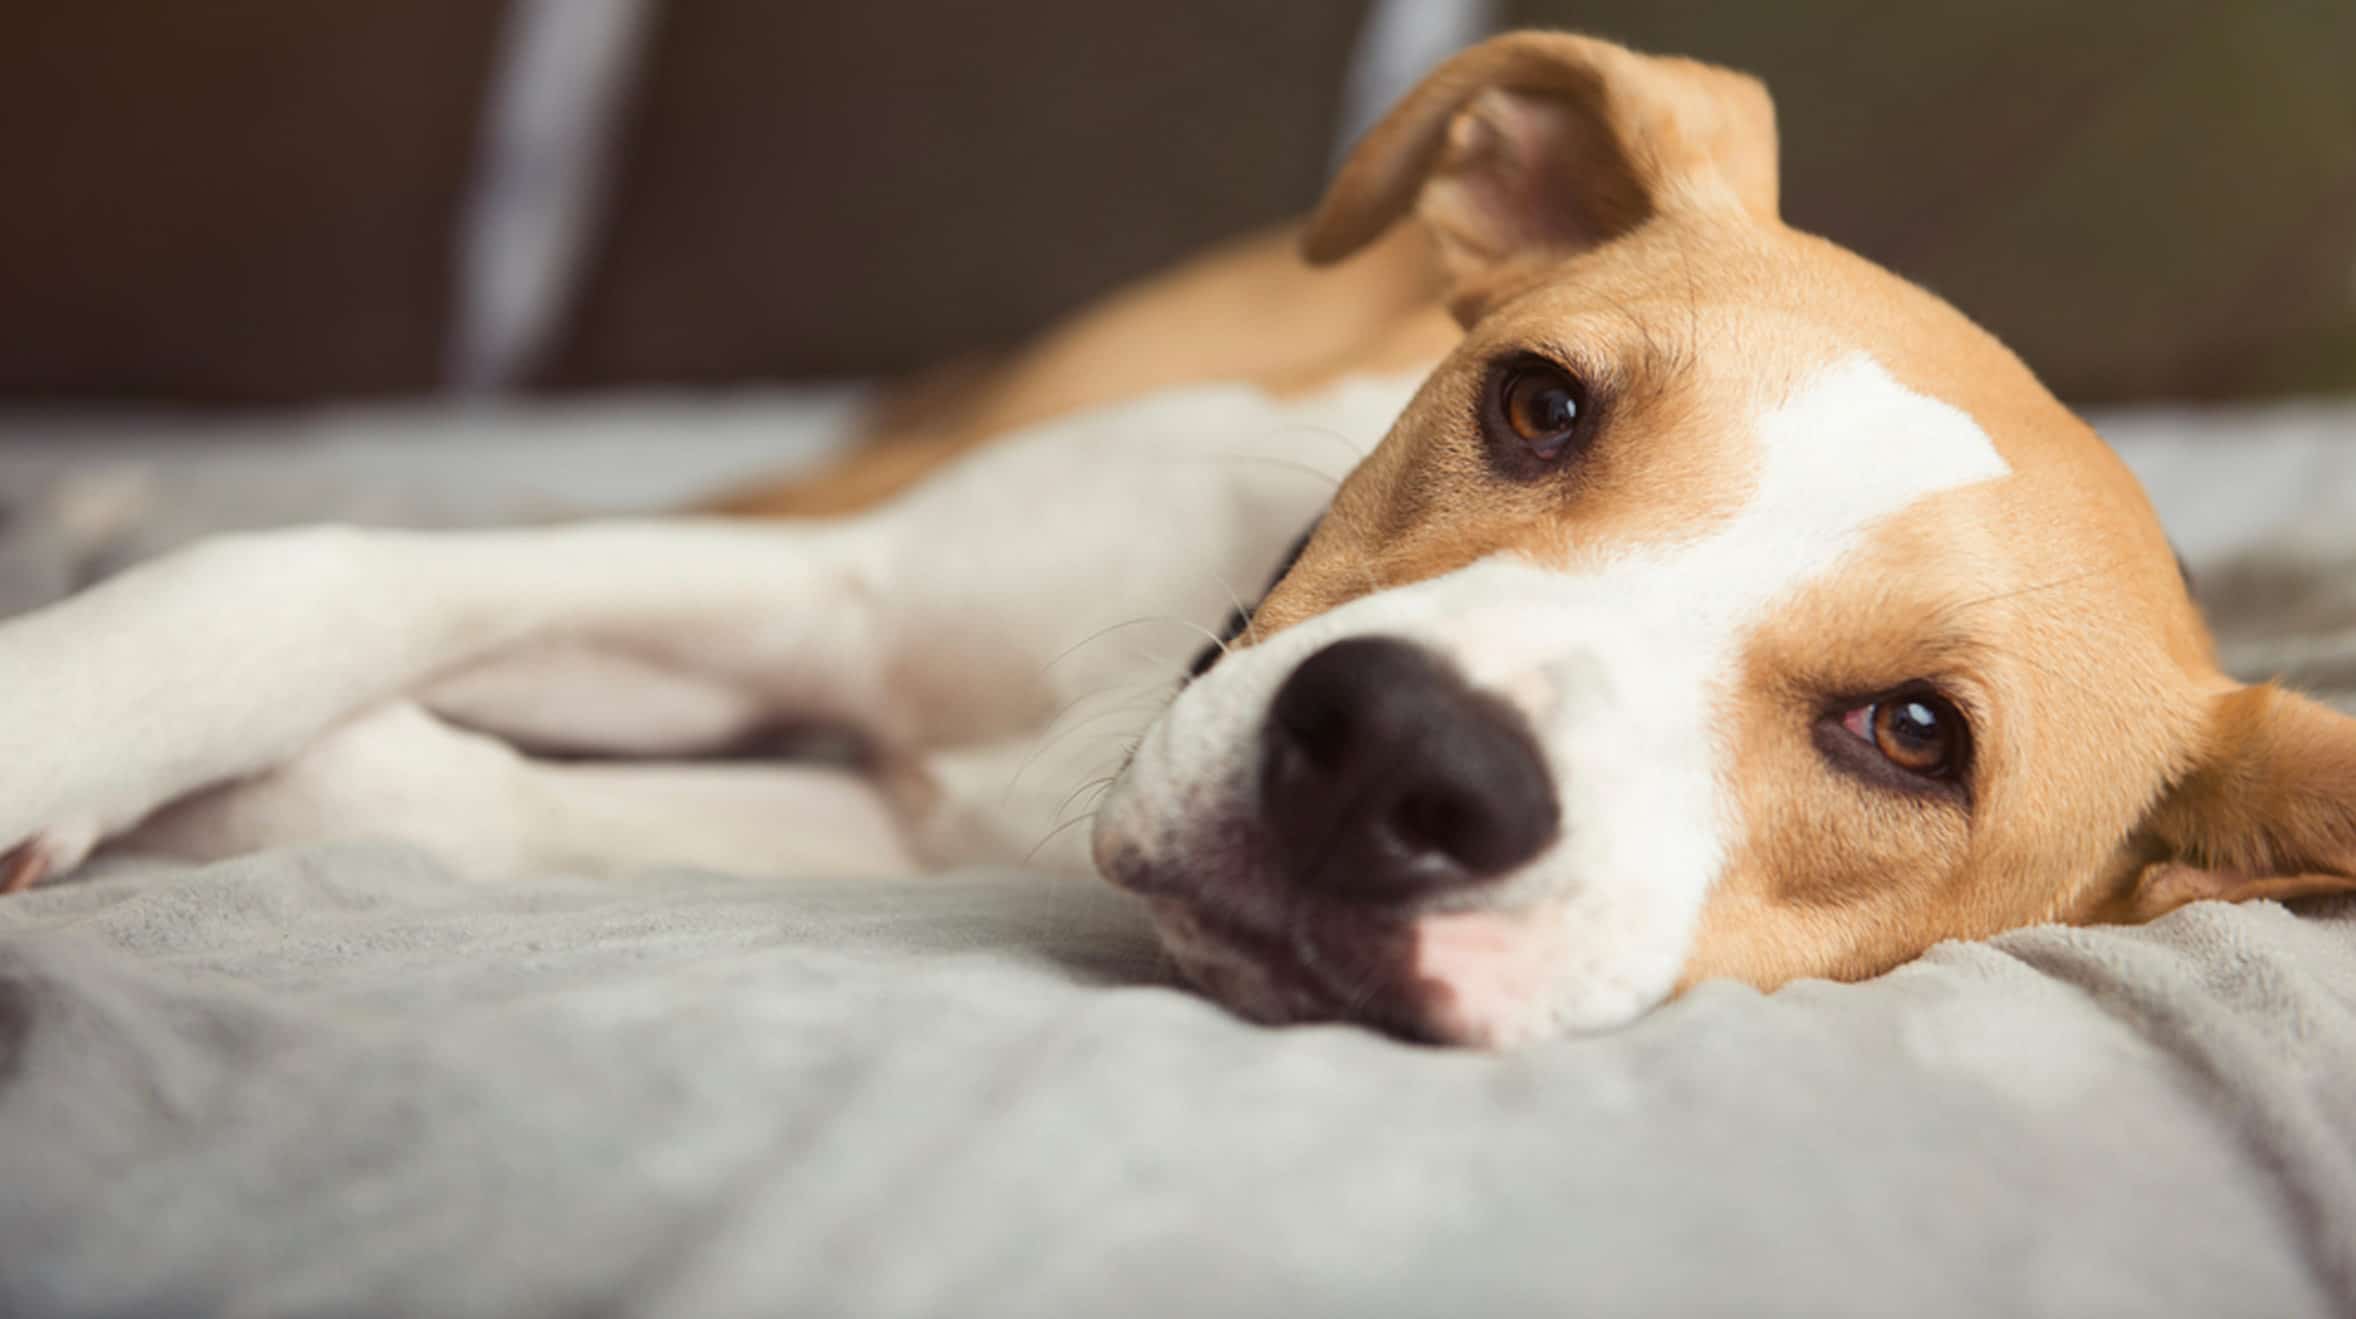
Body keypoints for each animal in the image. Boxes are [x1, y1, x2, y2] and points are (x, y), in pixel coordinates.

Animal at [0, 33, 2346, 1050]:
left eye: (1914, 734)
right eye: (1537, 402)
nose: (1399, 760)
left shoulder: (897, 813)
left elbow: (472, 790)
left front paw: (254, 802)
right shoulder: (828, 588)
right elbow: (314, 569)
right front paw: (65, 708)